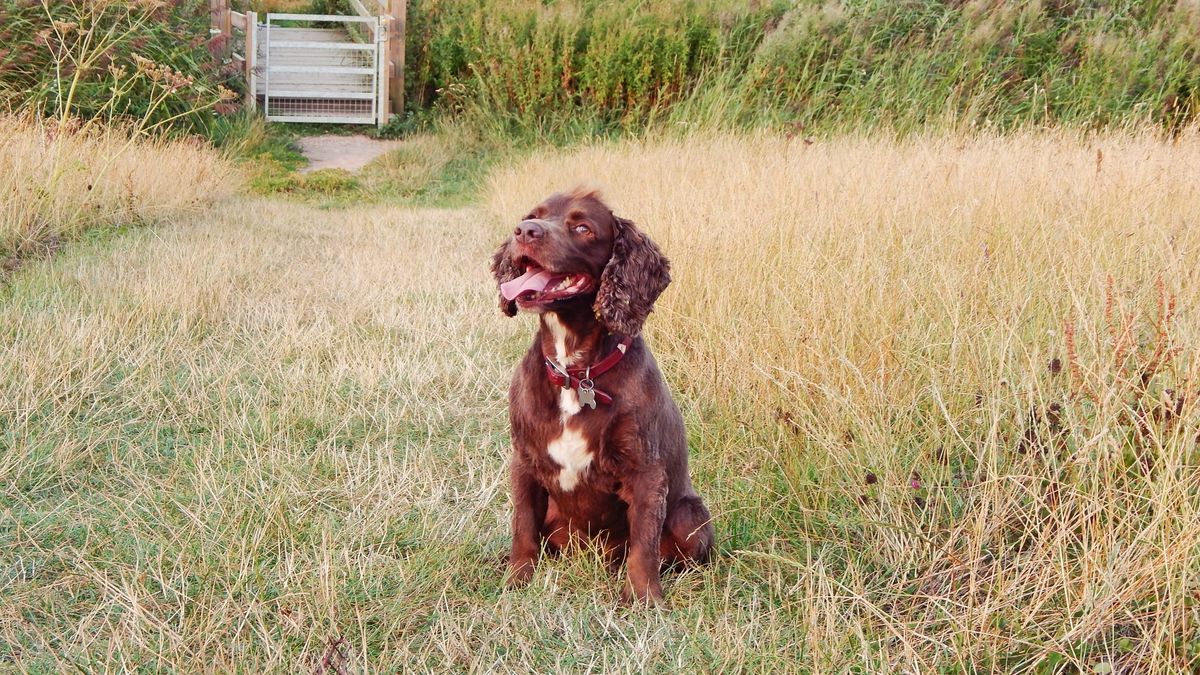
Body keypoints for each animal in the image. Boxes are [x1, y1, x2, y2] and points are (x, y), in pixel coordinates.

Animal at [489, 186, 710, 600]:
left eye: (582, 227)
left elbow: (644, 544)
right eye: (532, 215)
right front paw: (516, 579)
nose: (524, 231)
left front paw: (643, 599)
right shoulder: (523, 460)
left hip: (692, 517)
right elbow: (522, 526)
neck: (576, 373)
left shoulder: (646, 471)